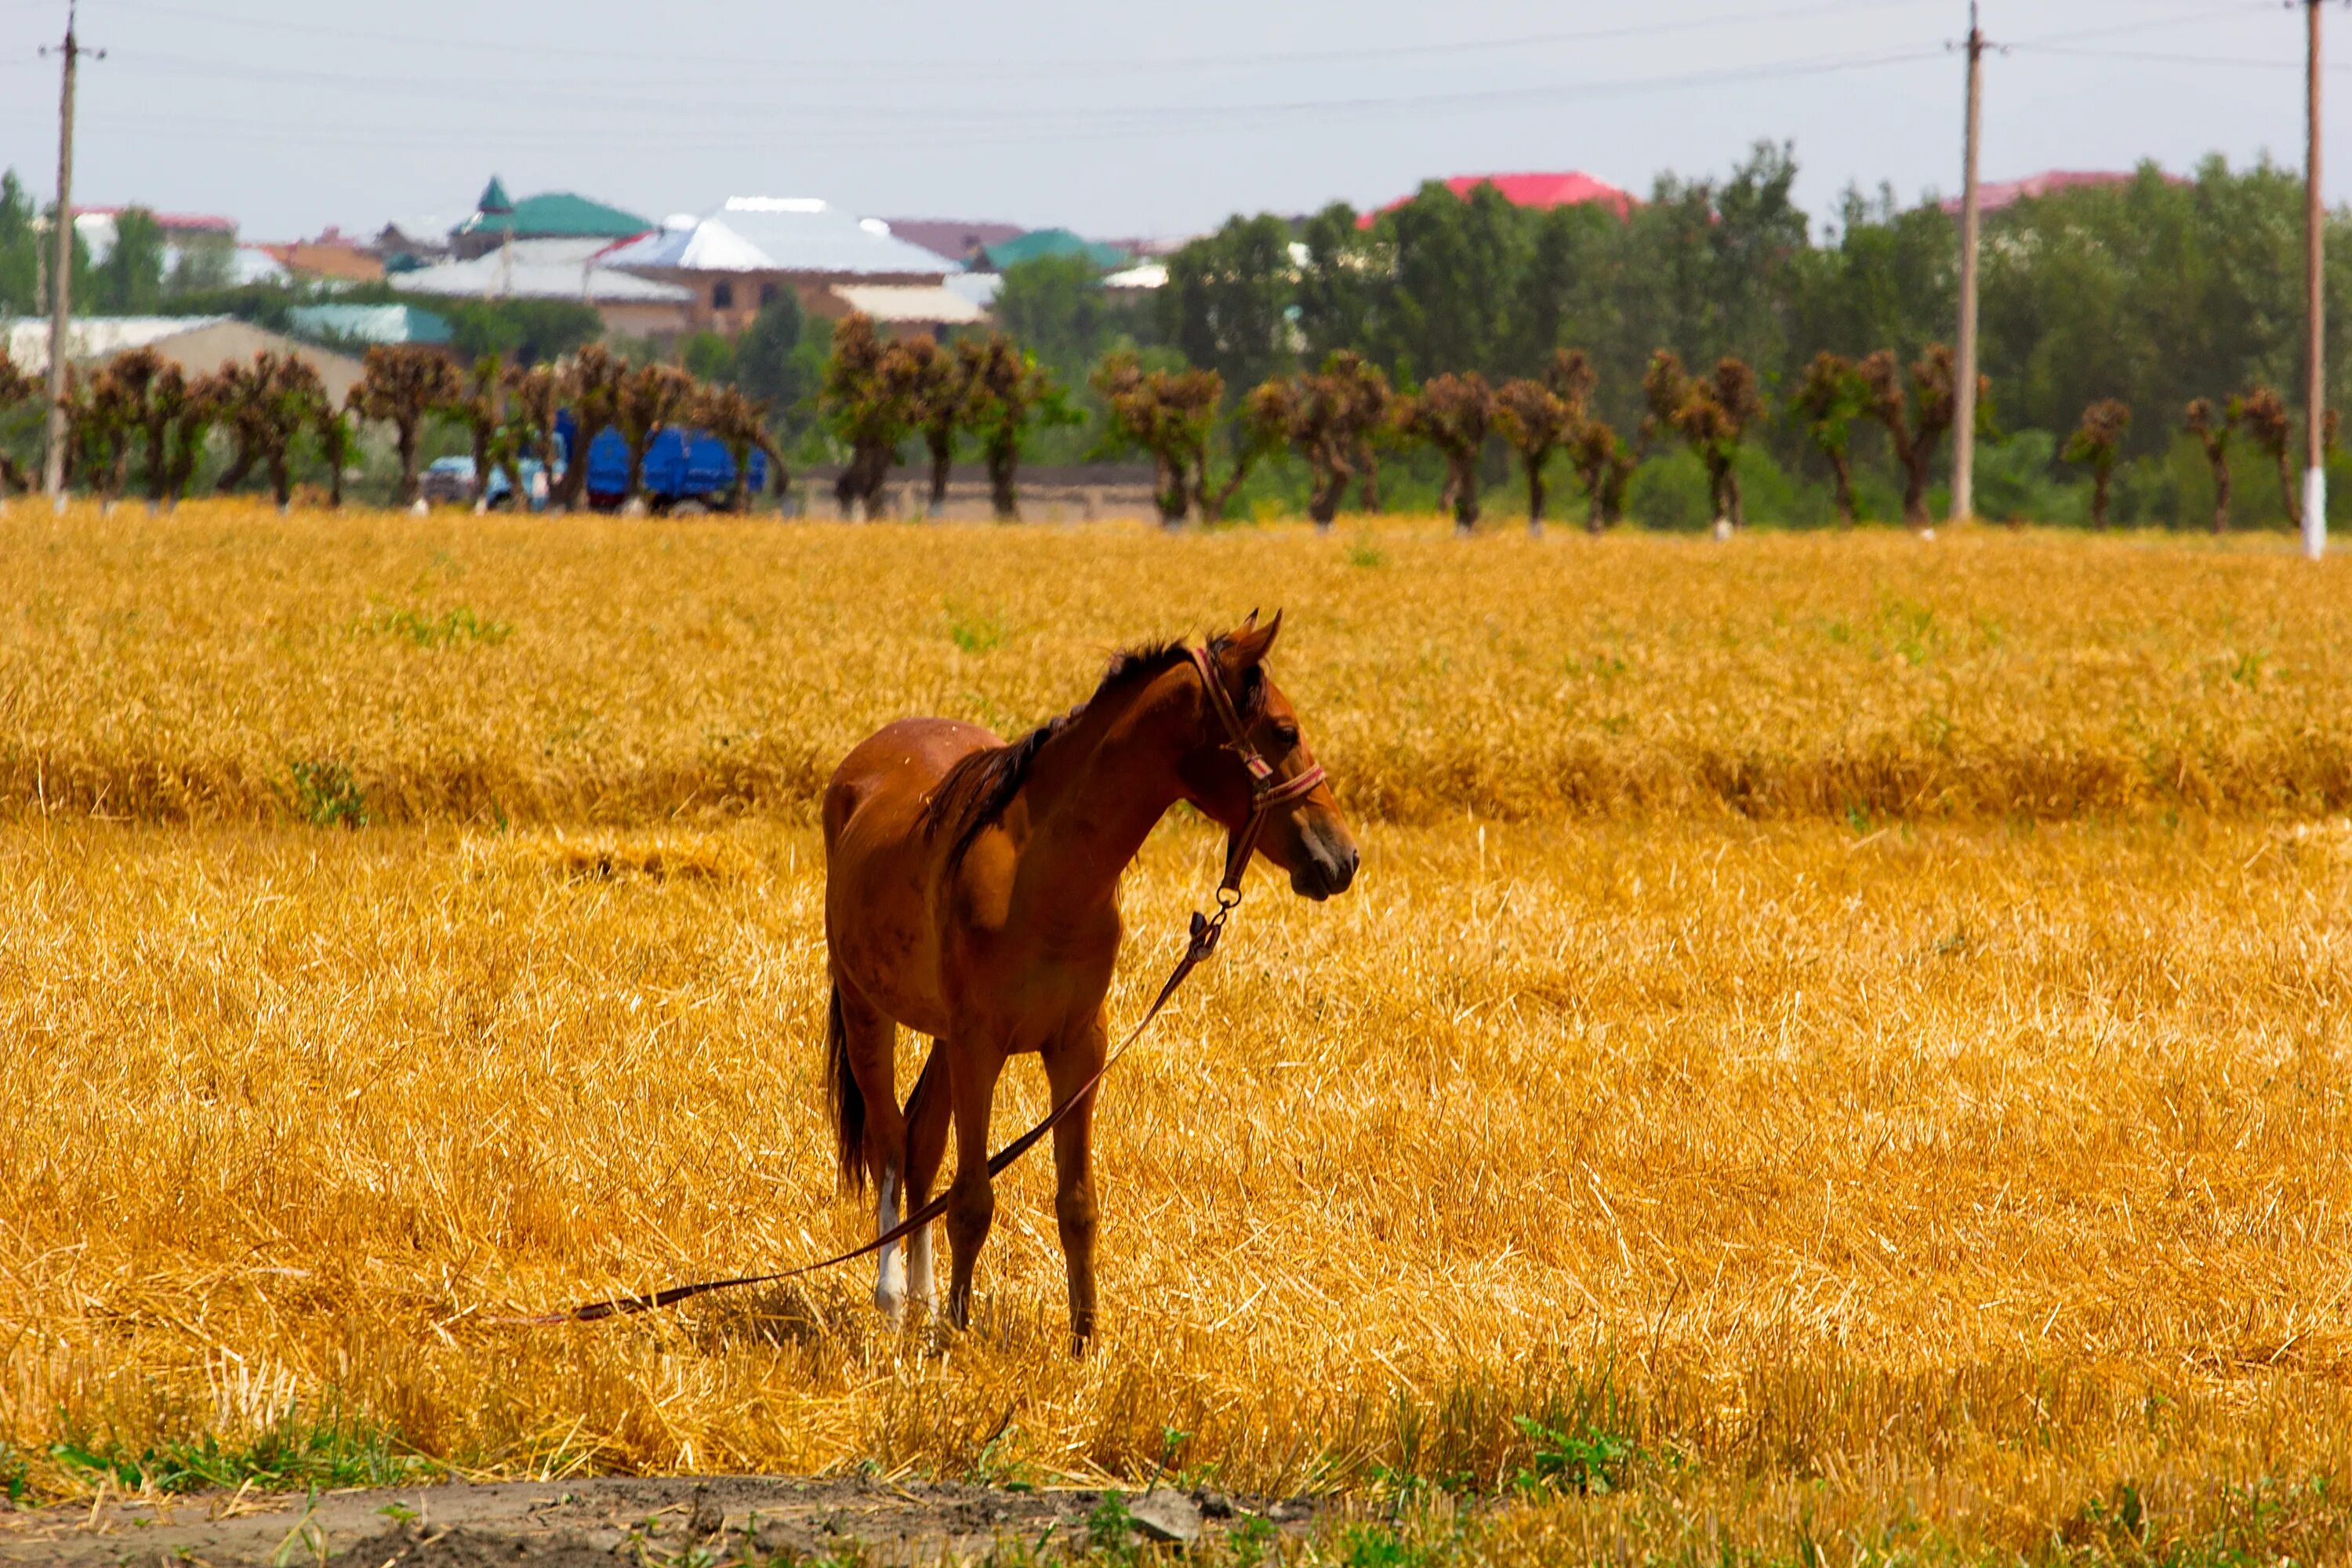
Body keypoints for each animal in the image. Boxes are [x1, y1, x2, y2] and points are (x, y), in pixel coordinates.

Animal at [823, 620, 1364, 1345]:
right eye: (1283, 730)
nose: (1343, 858)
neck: (1042, 874)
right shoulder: (980, 1046)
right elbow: (972, 1198)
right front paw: (961, 1337)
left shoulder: (1079, 1046)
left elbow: (1077, 1201)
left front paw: (1084, 1341)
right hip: (868, 1012)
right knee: (888, 1142)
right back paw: (892, 1305)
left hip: (940, 1039)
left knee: (919, 1144)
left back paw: (925, 1305)